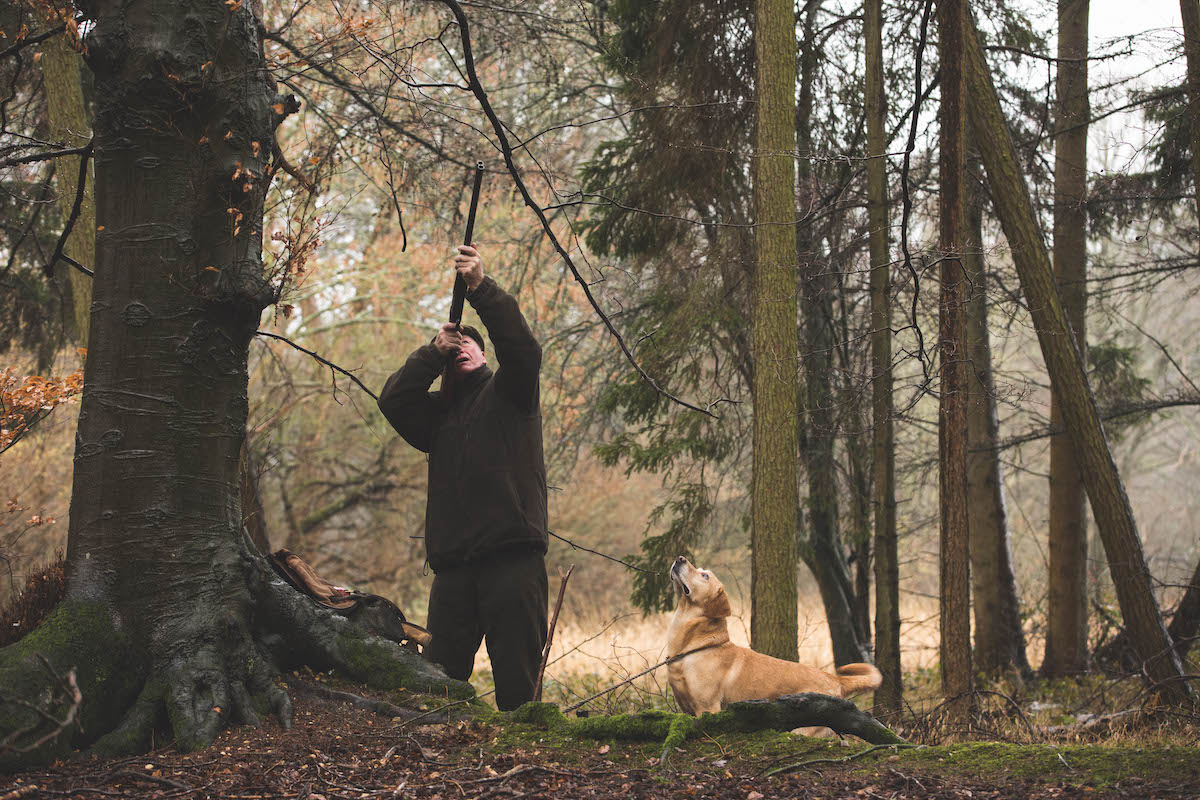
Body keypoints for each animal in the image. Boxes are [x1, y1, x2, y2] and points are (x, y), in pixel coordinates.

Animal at [667, 556, 883, 719]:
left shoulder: (707, 707)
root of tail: (835, 680)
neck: (692, 646)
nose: (680, 558)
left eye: (704, 576)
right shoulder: (687, 707)